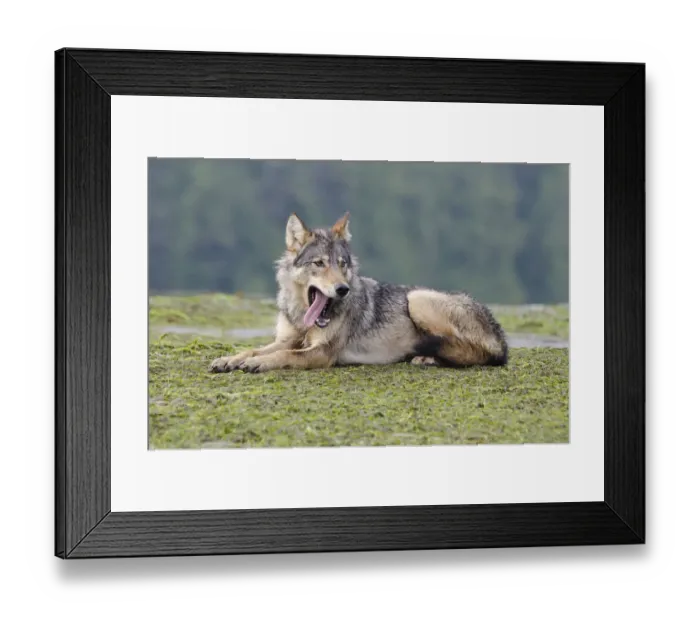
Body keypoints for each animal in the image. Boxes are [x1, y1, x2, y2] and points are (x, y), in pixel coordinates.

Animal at [209, 212, 508, 374]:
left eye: (342, 264)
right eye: (319, 263)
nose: (342, 289)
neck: (303, 317)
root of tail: (500, 332)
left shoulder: (322, 352)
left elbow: (285, 356)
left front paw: (259, 363)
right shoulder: (287, 339)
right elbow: (252, 348)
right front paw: (229, 359)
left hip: (417, 299)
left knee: (480, 354)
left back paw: (428, 356)